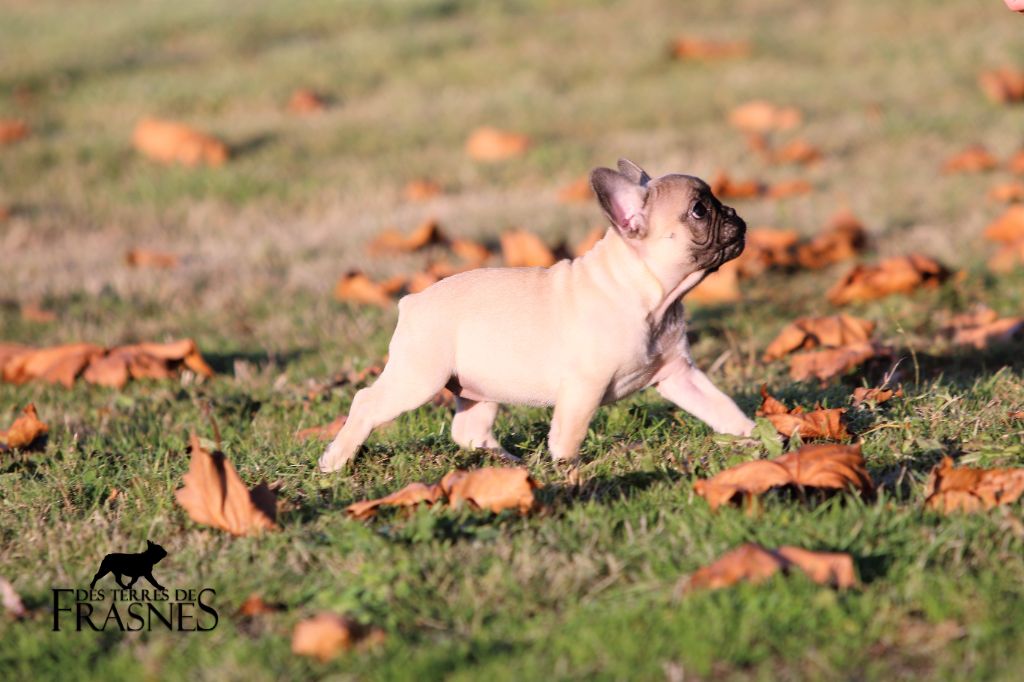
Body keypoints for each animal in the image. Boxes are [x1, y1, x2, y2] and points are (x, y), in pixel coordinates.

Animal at [317, 157, 753, 473]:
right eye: (699, 210)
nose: (734, 212)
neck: (650, 294)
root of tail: (412, 301)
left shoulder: (679, 375)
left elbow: (719, 405)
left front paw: (753, 434)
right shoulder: (584, 386)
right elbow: (570, 432)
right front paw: (568, 466)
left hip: (480, 386)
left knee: (468, 429)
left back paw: (506, 460)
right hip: (420, 378)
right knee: (366, 402)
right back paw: (335, 460)